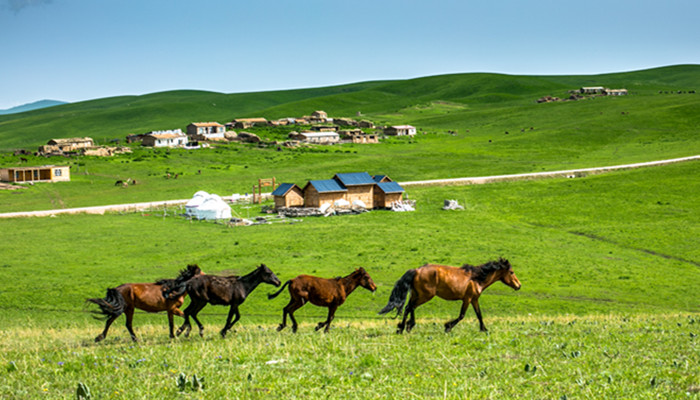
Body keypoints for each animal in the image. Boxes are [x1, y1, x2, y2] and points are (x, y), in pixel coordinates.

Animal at [378, 258, 520, 332]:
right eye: (512, 272)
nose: (519, 285)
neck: (476, 278)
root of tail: (417, 270)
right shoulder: (467, 299)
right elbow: (461, 315)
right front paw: (447, 327)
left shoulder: (474, 299)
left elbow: (479, 315)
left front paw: (484, 329)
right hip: (425, 296)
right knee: (410, 307)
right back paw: (406, 326)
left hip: (416, 294)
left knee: (409, 307)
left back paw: (404, 327)